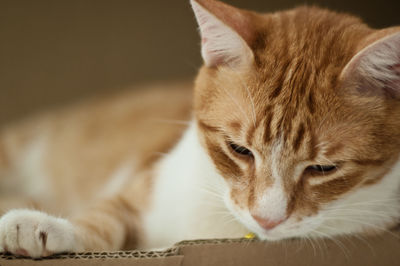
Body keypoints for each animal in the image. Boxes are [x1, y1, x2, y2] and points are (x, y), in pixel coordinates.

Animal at [0, 0, 400, 258]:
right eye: (239, 149)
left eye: (323, 168)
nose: (266, 219)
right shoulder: (141, 189)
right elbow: (102, 221)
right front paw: (46, 228)